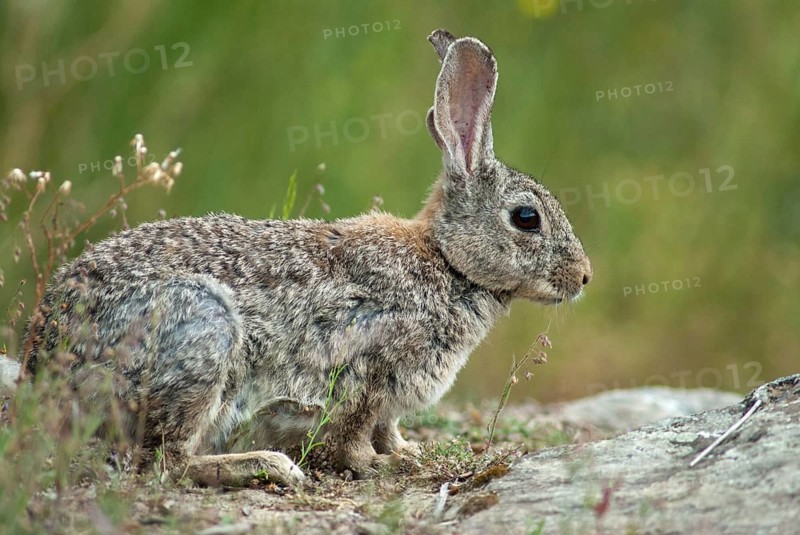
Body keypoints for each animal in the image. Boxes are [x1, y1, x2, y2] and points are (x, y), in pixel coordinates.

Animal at [3, 29, 591, 486]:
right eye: (527, 218)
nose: (584, 277)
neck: (447, 260)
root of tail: (46, 371)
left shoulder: (386, 398)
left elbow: (389, 428)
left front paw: (407, 453)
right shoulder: (364, 372)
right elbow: (354, 435)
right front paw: (381, 467)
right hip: (202, 337)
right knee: (165, 462)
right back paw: (266, 465)